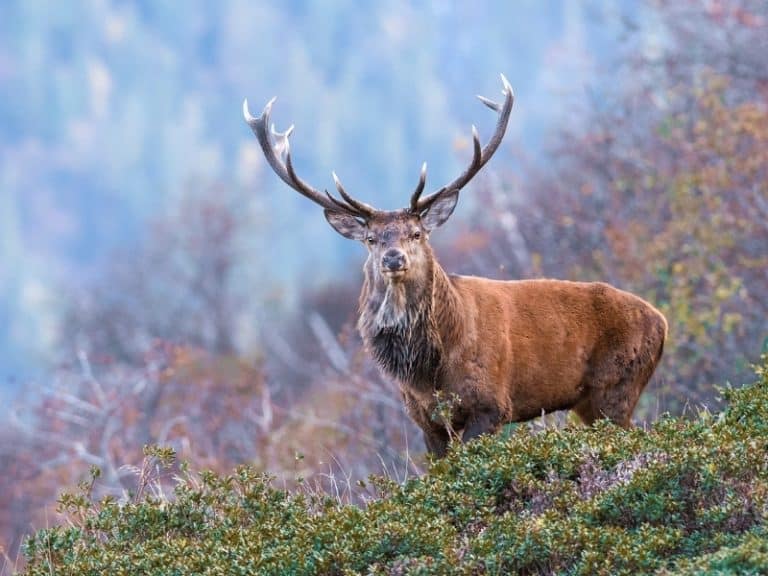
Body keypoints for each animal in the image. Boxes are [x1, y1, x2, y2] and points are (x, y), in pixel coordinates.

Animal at [243, 75, 668, 457]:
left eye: (416, 233)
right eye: (371, 239)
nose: (393, 258)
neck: (428, 371)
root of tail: (662, 322)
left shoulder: (491, 403)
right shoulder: (424, 419)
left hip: (615, 387)